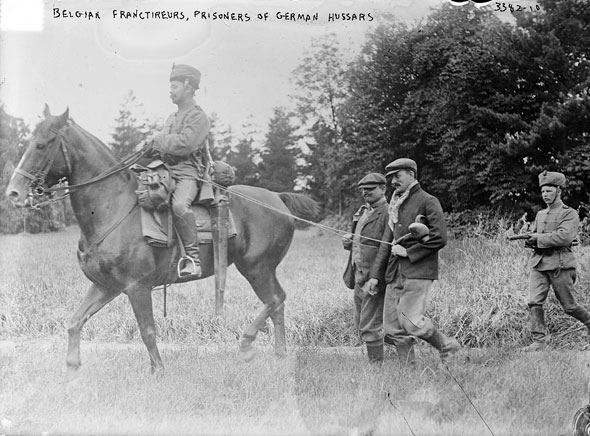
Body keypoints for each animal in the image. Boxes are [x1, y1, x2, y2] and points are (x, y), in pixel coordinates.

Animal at [4, 105, 320, 374]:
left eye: (42, 144)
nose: (14, 192)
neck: (113, 207)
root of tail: (277, 198)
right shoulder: (106, 286)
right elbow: (74, 322)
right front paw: (71, 370)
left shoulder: (137, 287)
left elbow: (147, 331)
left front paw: (158, 371)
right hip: (260, 269)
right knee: (277, 303)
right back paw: (279, 355)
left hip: (257, 268)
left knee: (276, 299)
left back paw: (246, 343)